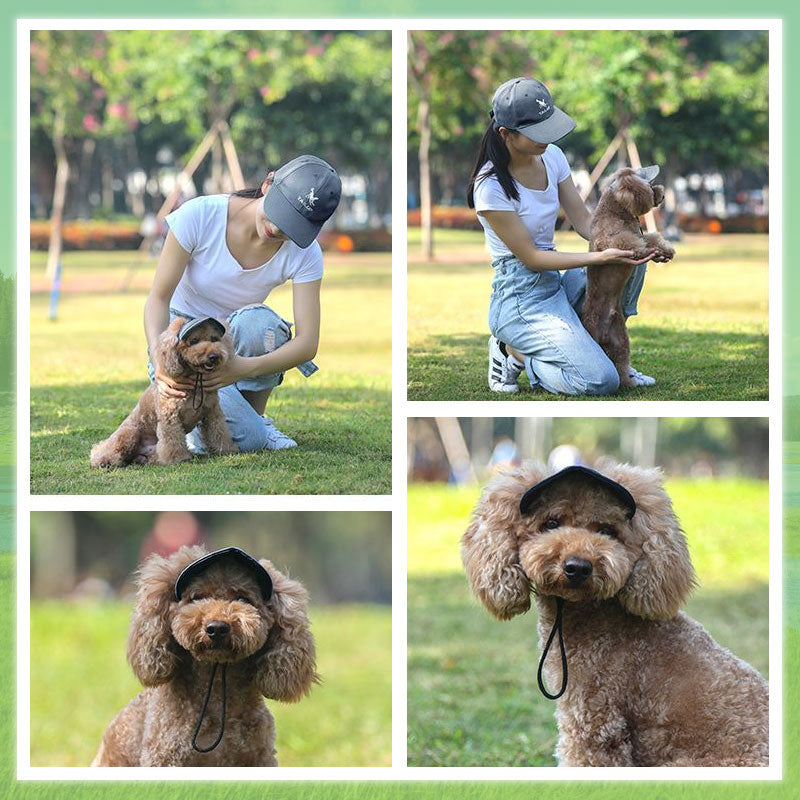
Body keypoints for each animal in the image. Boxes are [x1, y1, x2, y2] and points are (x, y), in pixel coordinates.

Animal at [90, 318, 238, 468]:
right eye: (194, 341)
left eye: (214, 339)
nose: (213, 356)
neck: (194, 381)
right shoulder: (170, 417)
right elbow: (172, 441)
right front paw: (178, 459)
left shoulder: (212, 413)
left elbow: (219, 432)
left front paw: (226, 450)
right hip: (129, 433)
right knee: (104, 450)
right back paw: (104, 461)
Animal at [90, 548, 316, 764]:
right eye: (197, 597)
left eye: (244, 599)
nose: (217, 628)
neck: (216, 686)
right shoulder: (165, 757)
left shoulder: (259, 758)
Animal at [580, 166, 676, 388]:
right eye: (649, 185)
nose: (662, 194)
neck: (616, 211)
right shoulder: (612, 240)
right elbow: (630, 242)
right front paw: (647, 251)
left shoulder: (642, 234)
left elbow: (652, 237)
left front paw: (665, 251)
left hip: (621, 341)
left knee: (621, 364)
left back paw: (627, 383)